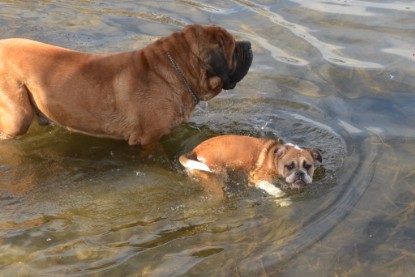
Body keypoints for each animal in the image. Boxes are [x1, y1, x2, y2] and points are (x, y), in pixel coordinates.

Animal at [179, 135, 322, 199]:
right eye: (290, 166)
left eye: (308, 166)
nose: (299, 174)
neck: (275, 159)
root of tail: (195, 152)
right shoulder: (256, 177)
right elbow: (274, 190)